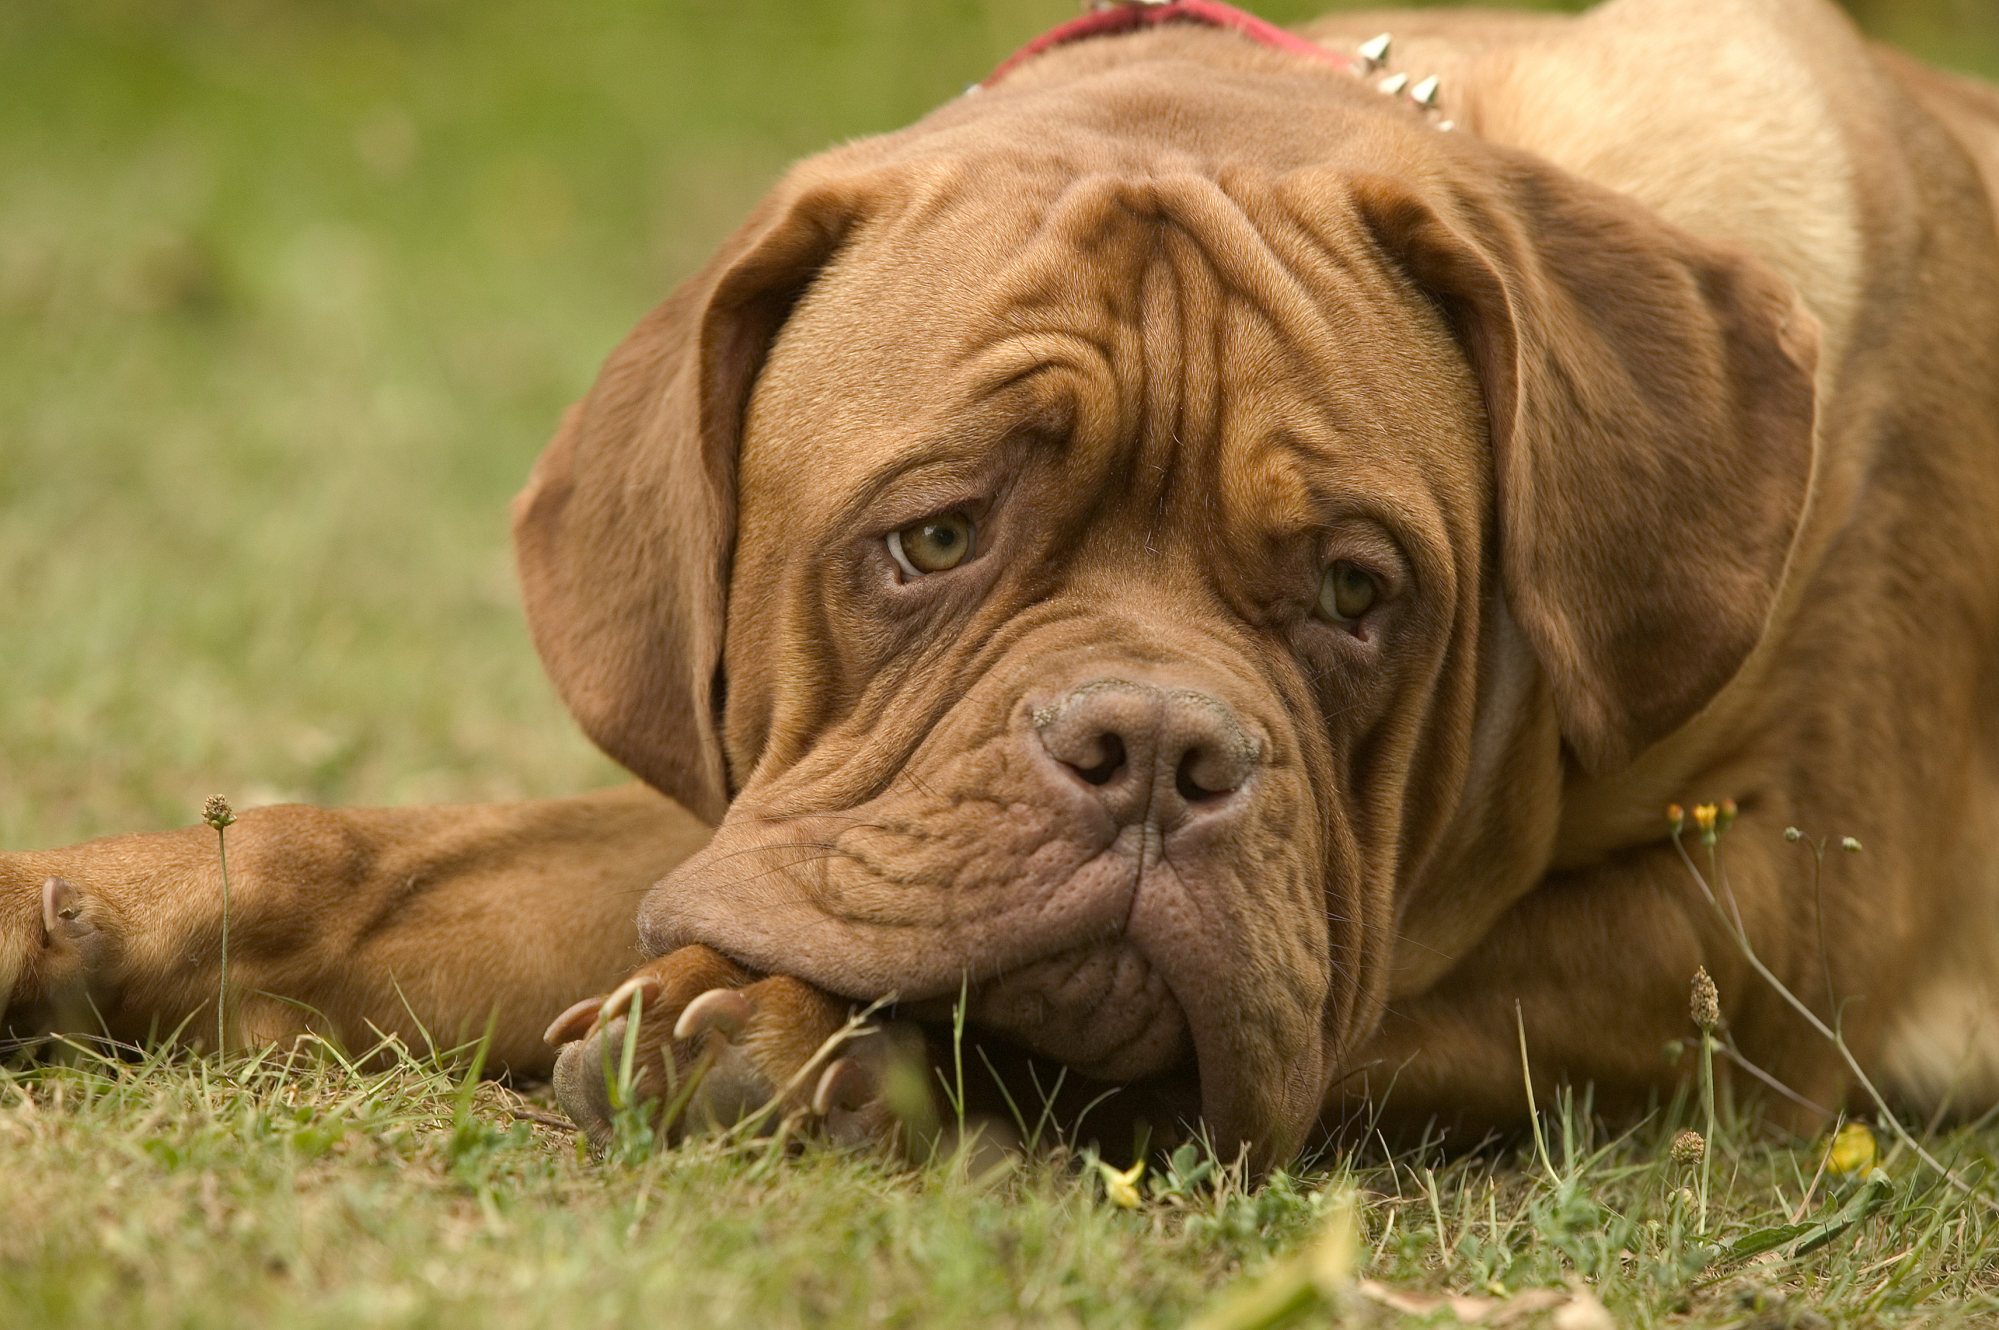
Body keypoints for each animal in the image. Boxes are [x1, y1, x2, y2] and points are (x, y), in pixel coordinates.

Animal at [3, 0, 1999, 1160]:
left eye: (1355, 590)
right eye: (935, 538)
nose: (1154, 753)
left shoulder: (1726, 940)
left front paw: (785, 1025)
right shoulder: (800, 810)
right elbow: (390, 859)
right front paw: (66, 911)